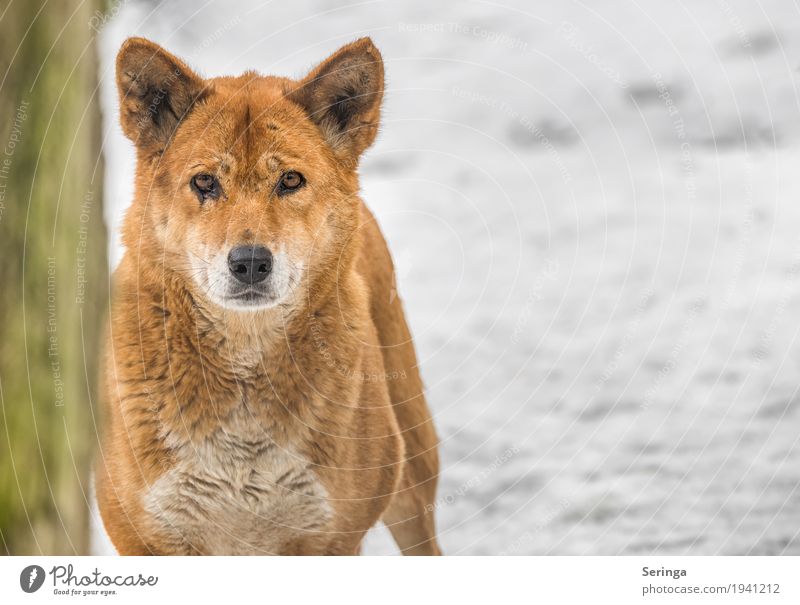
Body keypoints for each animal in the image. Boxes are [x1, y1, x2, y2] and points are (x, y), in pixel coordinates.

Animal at [98, 37, 444, 556]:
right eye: (205, 182)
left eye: (291, 180)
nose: (249, 262)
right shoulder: (150, 536)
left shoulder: (330, 537)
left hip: (412, 479)